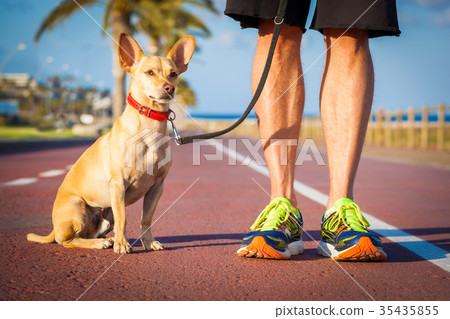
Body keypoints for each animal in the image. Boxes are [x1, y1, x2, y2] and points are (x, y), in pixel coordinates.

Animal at [26, 33, 195, 255]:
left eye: (173, 74)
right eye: (149, 73)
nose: (169, 88)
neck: (150, 128)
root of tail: (54, 229)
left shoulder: (157, 187)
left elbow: (146, 218)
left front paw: (148, 242)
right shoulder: (119, 185)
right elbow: (124, 218)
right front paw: (122, 245)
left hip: (106, 216)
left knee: (90, 234)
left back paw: (107, 239)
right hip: (78, 207)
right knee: (69, 240)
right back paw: (102, 243)